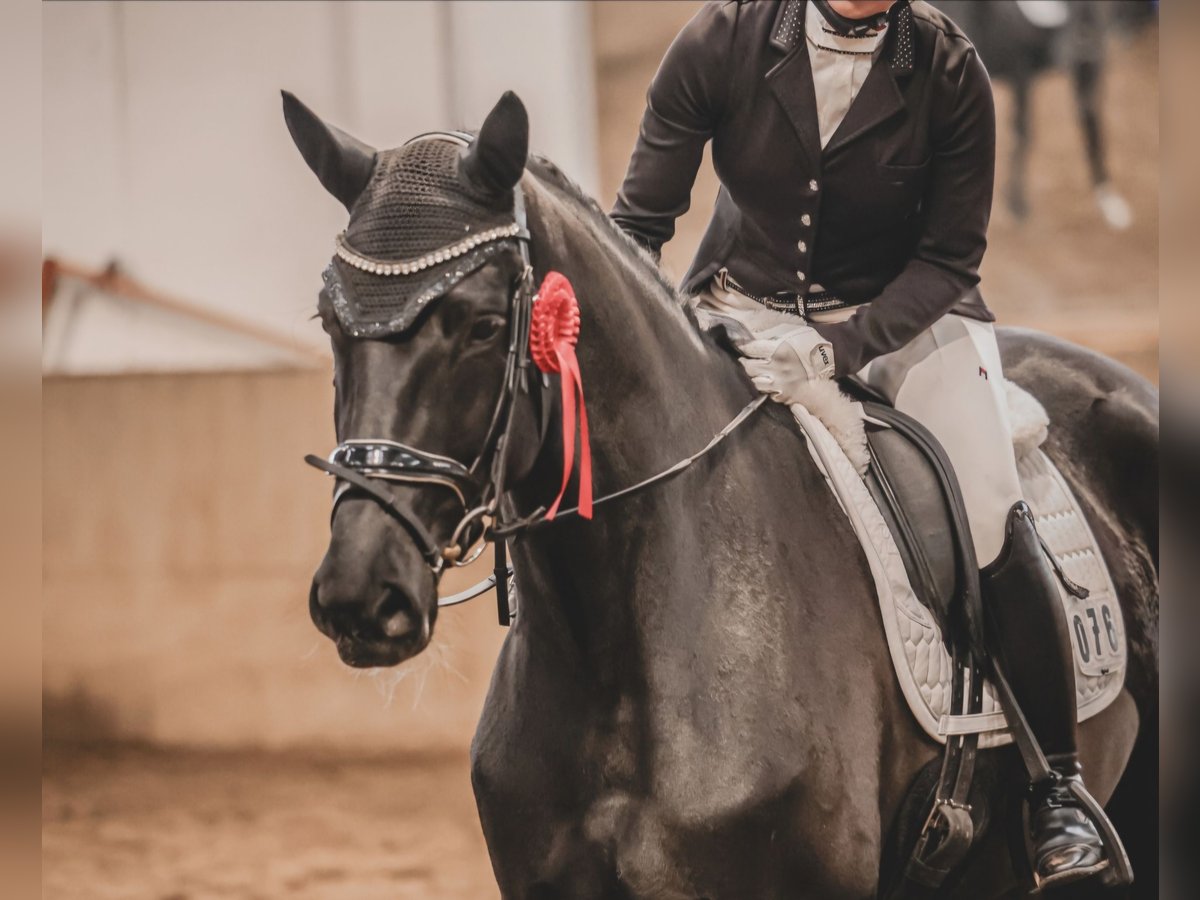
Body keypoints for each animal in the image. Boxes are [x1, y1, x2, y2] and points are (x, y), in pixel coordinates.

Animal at [931, 0, 1156, 230]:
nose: (1084, 44)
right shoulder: (1020, 69)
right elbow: (1023, 133)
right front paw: (1016, 203)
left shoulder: (1088, 72)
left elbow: (1093, 130)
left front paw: (1107, 199)